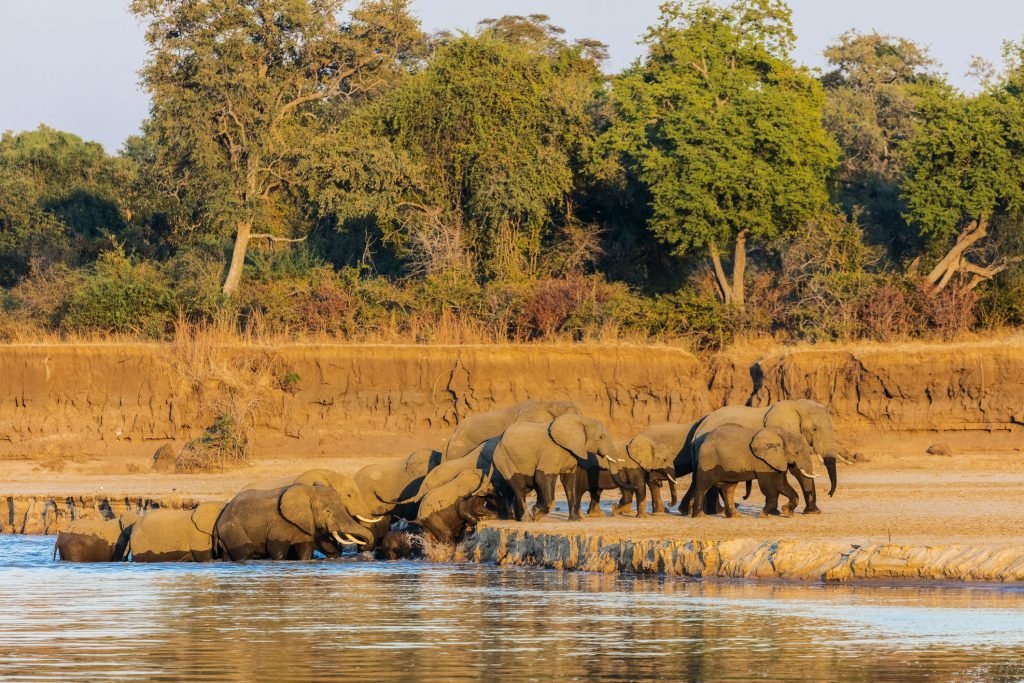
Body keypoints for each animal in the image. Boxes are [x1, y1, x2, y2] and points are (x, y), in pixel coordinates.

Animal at [216, 481, 376, 561]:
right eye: (327, 511)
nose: (365, 550)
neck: (308, 491)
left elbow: (305, 549)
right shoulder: (279, 522)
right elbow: (277, 550)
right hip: (233, 530)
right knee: (245, 553)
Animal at [684, 401, 843, 511]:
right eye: (815, 429)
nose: (829, 494)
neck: (797, 404)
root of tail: (698, 426)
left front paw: (813, 512)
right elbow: (797, 470)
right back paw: (716, 511)